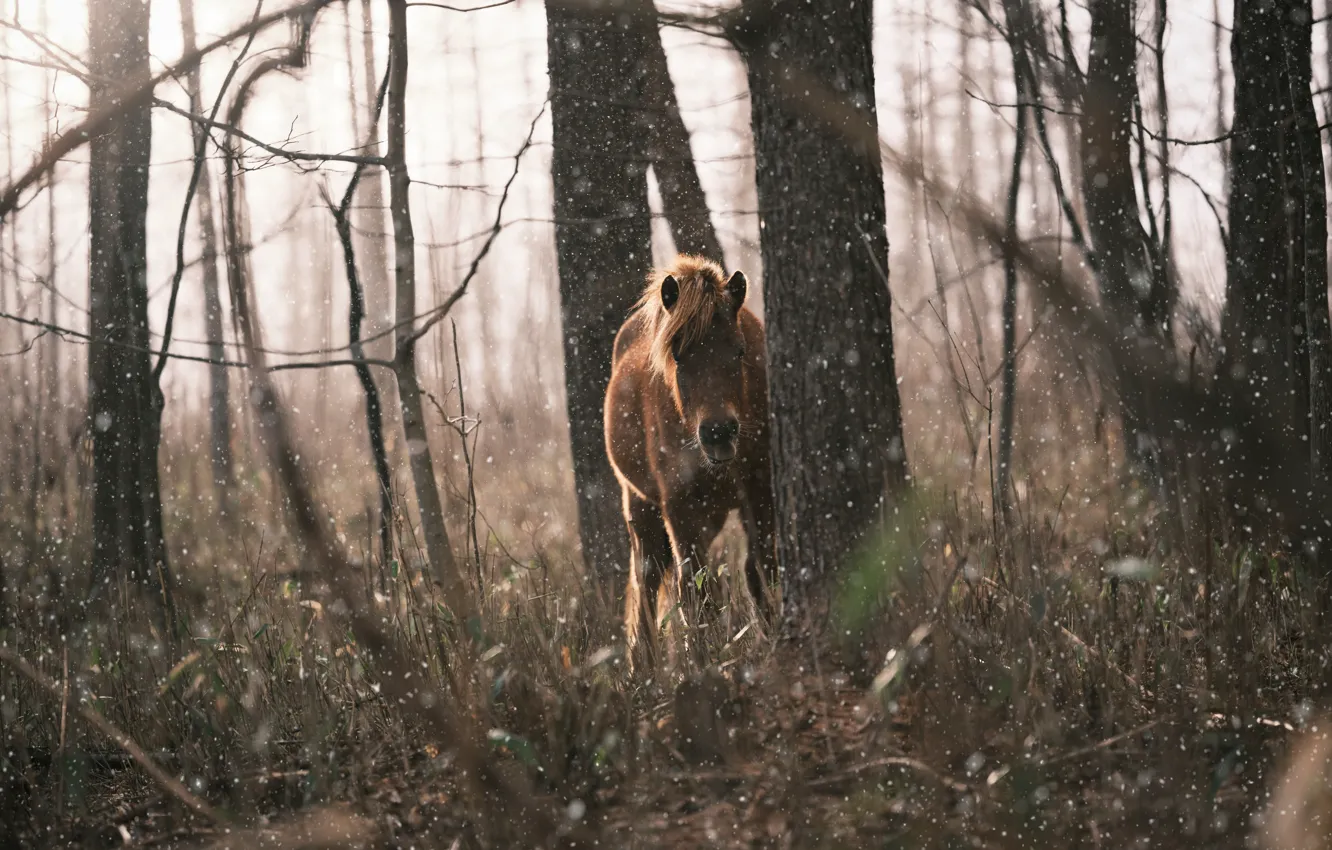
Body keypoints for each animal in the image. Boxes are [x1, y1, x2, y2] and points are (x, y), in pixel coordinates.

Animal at [603, 254, 777, 665]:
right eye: (678, 355)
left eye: (739, 351)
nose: (718, 432)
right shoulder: (679, 506)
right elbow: (692, 589)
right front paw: (702, 664)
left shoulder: (759, 489)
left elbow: (758, 568)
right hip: (641, 506)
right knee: (647, 579)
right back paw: (642, 666)